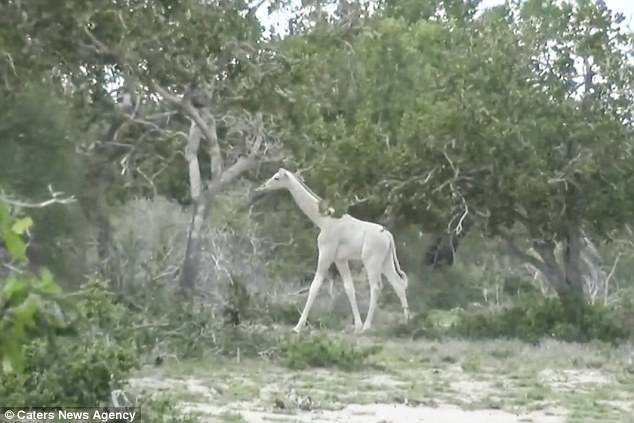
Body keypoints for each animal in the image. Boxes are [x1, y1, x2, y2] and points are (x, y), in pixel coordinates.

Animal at [253, 167, 410, 332]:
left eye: (276, 178)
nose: (261, 187)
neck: (323, 220)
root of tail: (389, 236)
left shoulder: (325, 253)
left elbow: (314, 287)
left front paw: (298, 327)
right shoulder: (340, 259)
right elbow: (349, 288)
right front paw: (357, 326)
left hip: (371, 261)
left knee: (376, 288)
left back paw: (368, 326)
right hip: (385, 261)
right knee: (398, 284)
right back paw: (406, 322)